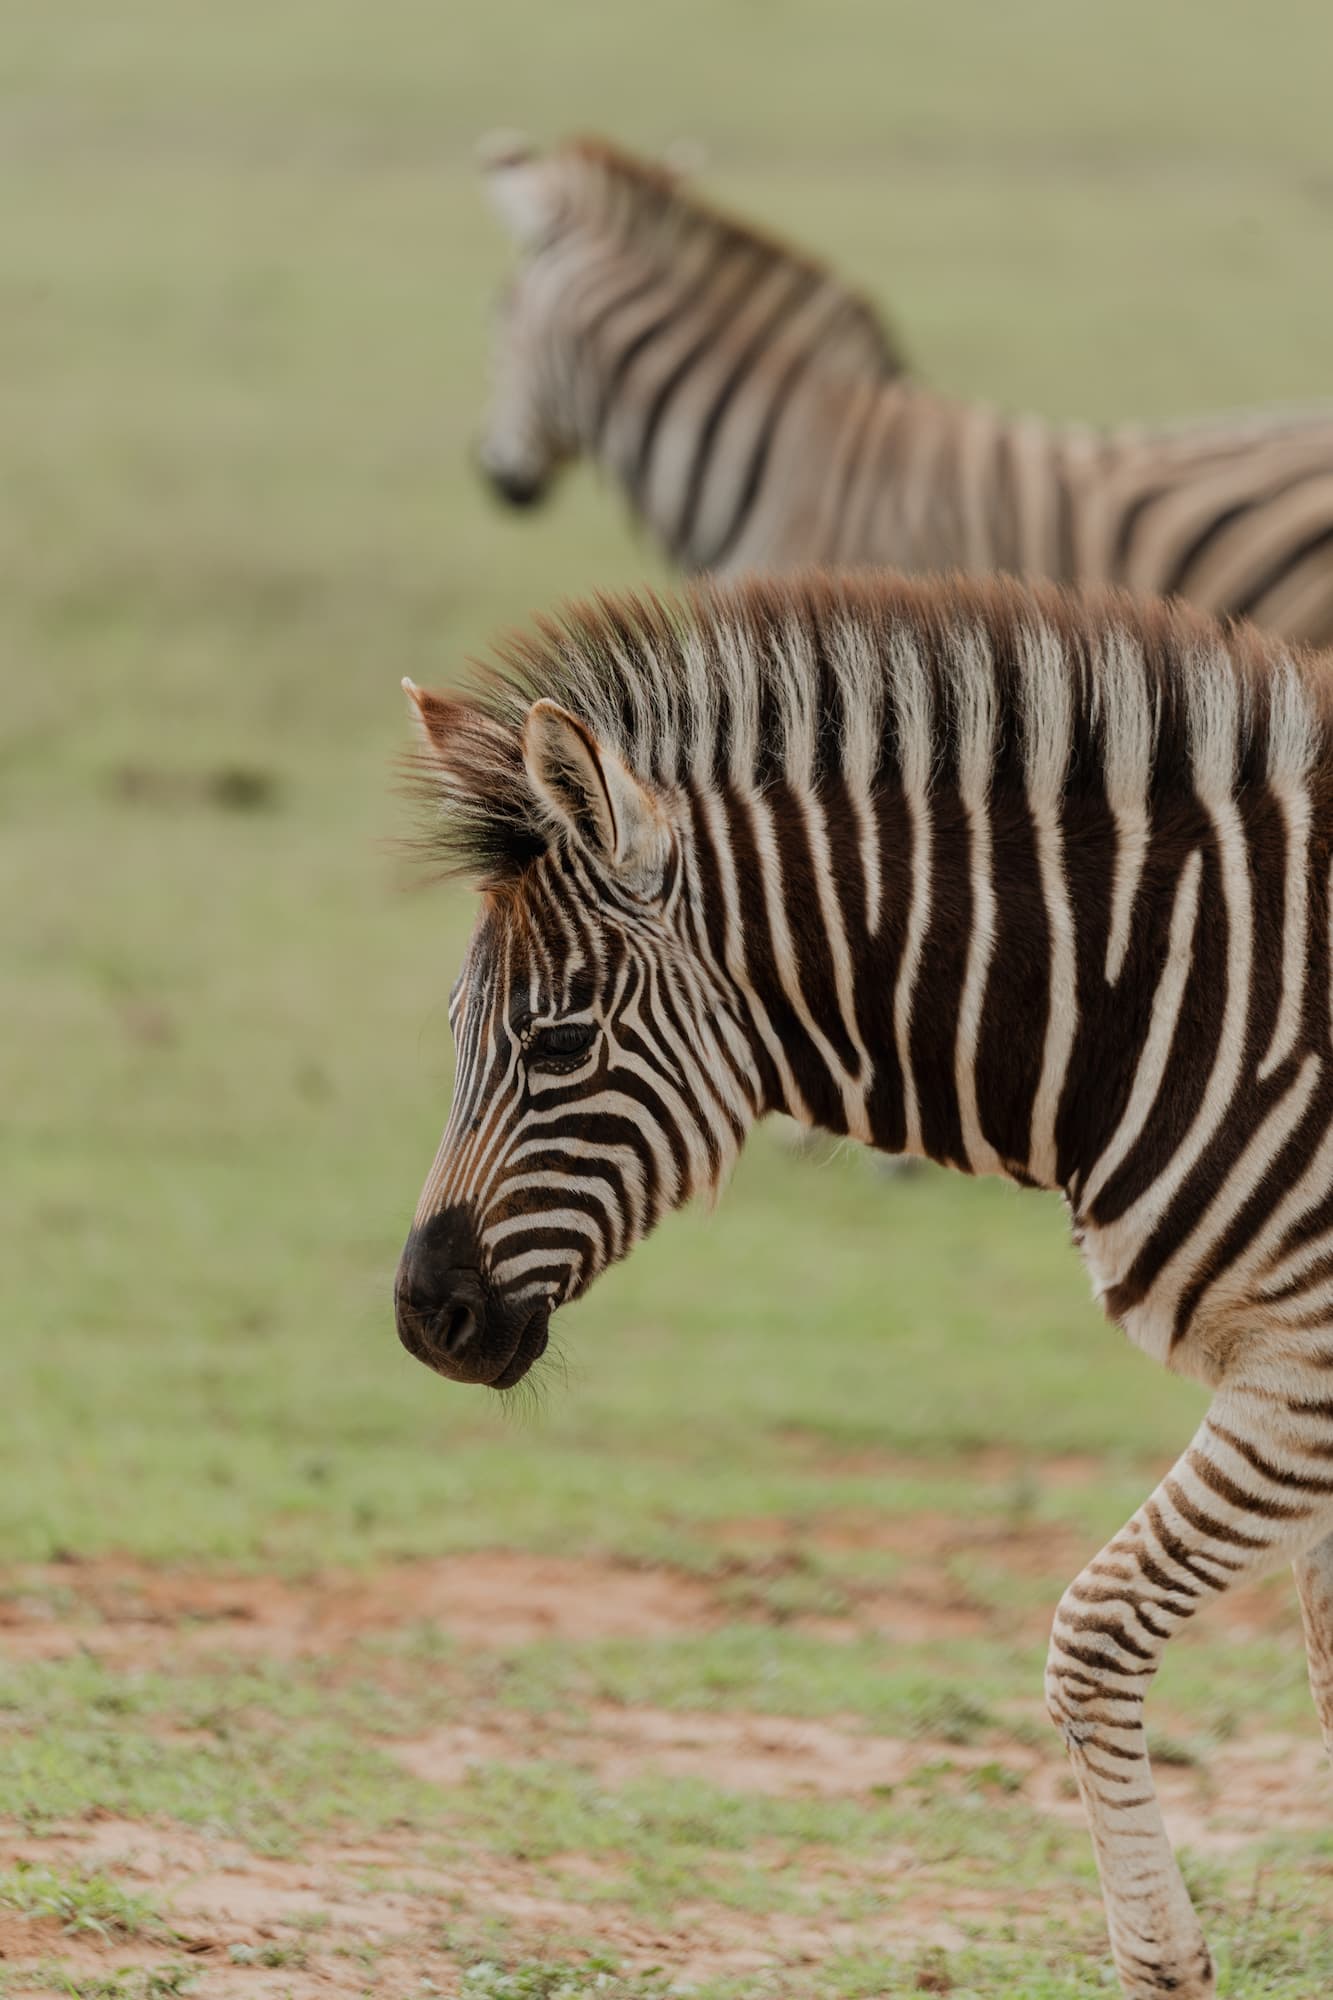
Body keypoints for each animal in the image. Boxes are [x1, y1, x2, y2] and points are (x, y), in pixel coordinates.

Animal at [394, 564, 1328, 2000]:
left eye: (556, 1042)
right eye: (456, 1033)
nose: (422, 1315)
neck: (1177, 995)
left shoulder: (1301, 1373)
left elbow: (1094, 1636)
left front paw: (1161, 1959)